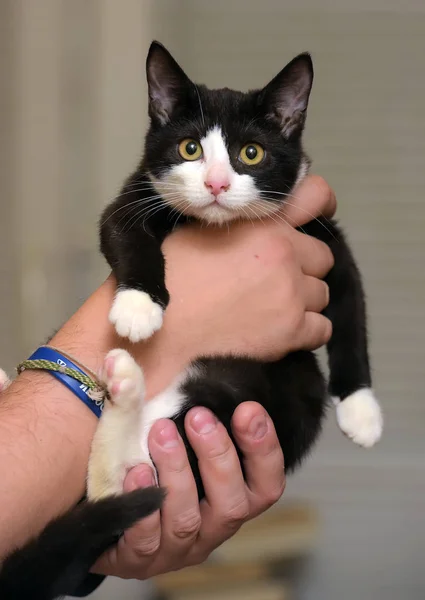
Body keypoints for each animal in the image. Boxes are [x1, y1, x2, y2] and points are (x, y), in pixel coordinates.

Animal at [0, 42, 382, 600]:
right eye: (189, 149)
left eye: (252, 153)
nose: (217, 183)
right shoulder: (135, 194)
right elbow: (124, 231)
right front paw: (139, 305)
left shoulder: (324, 236)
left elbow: (352, 310)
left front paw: (361, 409)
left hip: (254, 390)